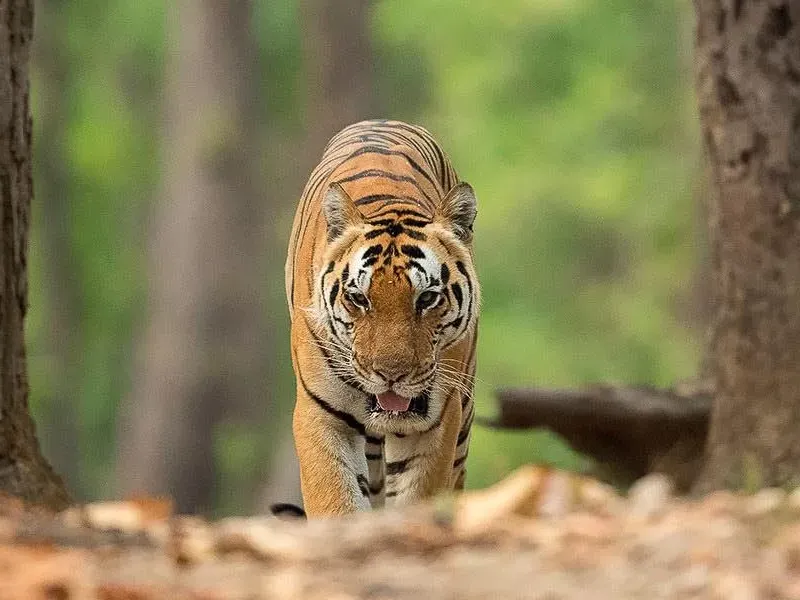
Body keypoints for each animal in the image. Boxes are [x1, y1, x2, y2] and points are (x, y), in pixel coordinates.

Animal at [283, 119, 480, 518]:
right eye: (359, 298)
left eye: (427, 298)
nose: (392, 376)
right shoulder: (320, 413)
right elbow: (336, 501)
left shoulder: (434, 421)